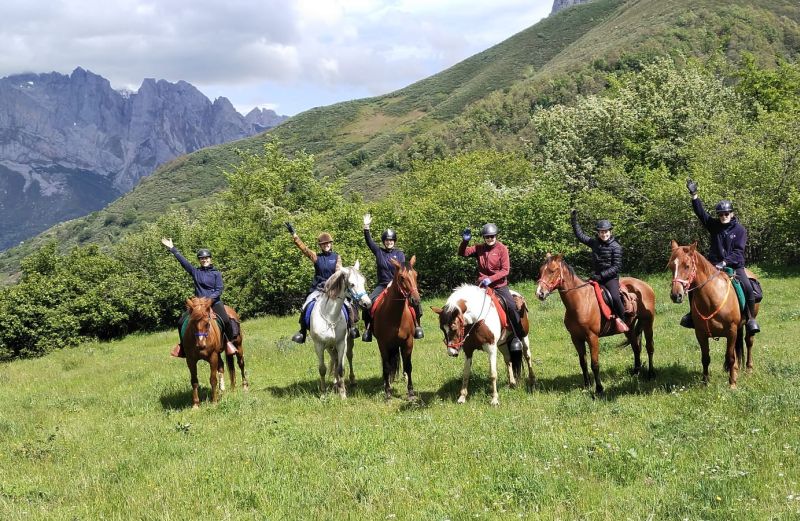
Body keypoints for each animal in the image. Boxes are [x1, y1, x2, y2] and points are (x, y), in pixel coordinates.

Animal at [308, 262, 374, 396]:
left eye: (363, 281)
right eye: (352, 284)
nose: (367, 303)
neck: (330, 316)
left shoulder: (341, 343)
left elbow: (341, 368)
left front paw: (342, 393)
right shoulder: (319, 345)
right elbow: (322, 369)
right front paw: (323, 393)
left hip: (347, 342)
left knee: (348, 356)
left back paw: (349, 381)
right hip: (329, 346)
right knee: (334, 358)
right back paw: (335, 383)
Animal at [372, 255, 422, 398]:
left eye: (416, 275)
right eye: (402, 277)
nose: (415, 300)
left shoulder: (408, 342)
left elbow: (408, 365)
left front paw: (410, 391)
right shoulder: (383, 343)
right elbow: (386, 367)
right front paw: (388, 392)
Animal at [536, 253, 656, 394]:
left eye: (552, 271)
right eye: (541, 271)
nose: (540, 293)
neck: (580, 301)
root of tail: (645, 285)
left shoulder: (592, 337)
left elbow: (595, 364)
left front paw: (599, 388)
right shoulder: (576, 338)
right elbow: (583, 362)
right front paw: (587, 385)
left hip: (648, 323)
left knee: (649, 347)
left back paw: (651, 374)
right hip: (629, 328)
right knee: (636, 348)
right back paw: (636, 372)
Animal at [664, 240, 760, 386]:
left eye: (687, 266)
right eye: (670, 266)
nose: (676, 295)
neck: (712, 298)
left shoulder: (731, 331)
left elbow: (730, 357)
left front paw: (732, 383)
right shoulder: (701, 334)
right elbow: (705, 358)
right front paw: (705, 382)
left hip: (747, 325)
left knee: (748, 342)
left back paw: (748, 370)